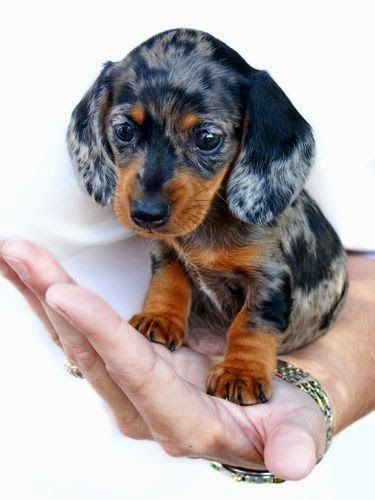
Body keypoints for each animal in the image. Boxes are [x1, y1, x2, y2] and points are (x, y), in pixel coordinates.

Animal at [67, 28, 350, 406]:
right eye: (124, 130)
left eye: (207, 138)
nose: (146, 214)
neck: (208, 223)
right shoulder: (168, 251)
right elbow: (168, 281)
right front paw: (160, 317)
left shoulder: (270, 279)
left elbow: (251, 323)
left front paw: (241, 372)